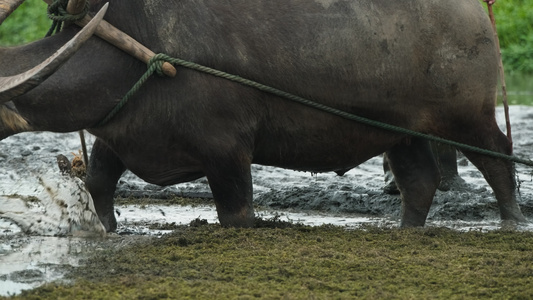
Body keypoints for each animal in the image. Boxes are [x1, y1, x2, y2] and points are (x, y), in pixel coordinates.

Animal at [0, 0, 524, 232]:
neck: (135, 51)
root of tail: (476, 13)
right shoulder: (120, 133)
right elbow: (99, 184)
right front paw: (106, 229)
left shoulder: (227, 150)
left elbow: (236, 213)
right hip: (402, 132)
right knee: (419, 181)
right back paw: (406, 229)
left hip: (469, 117)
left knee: (499, 159)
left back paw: (512, 222)